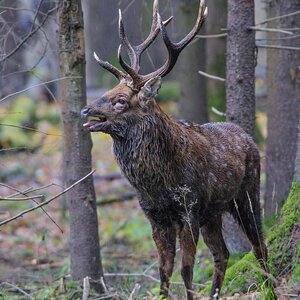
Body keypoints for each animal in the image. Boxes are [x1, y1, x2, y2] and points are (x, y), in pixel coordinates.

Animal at [81, 1, 268, 298]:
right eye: (109, 90)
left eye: (121, 100)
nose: (86, 109)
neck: (157, 183)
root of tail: (247, 136)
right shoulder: (155, 217)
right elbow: (164, 271)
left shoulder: (188, 210)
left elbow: (185, 269)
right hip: (212, 214)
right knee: (223, 253)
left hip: (246, 193)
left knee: (260, 244)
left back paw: (270, 287)